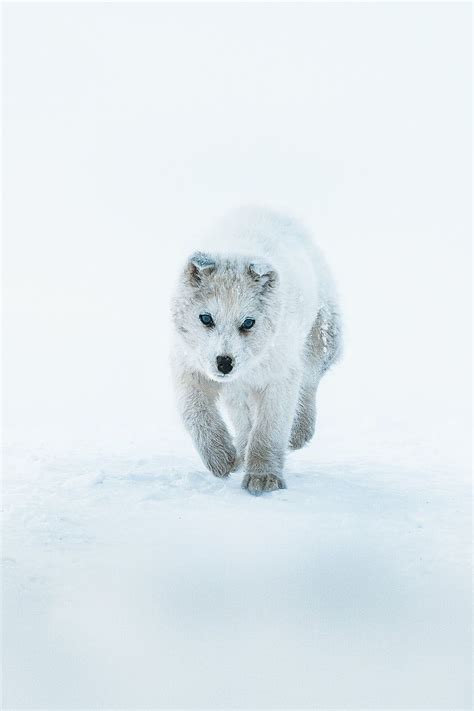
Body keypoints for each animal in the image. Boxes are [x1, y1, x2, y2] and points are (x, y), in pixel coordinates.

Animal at [170, 206, 340, 496]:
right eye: (206, 318)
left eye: (248, 322)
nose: (224, 363)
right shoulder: (188, 365)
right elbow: (195, 412)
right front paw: (220, 458)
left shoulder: (280, 376)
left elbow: (269, 429)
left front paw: (263, 478)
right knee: (241, 417)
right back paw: (239, 450)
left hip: (323, 335)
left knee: (309, 381)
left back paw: (298, 433)